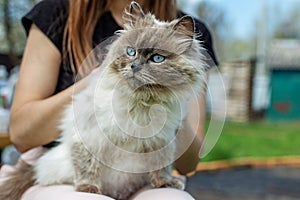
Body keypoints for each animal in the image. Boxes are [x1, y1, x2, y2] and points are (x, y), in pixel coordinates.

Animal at [0, 1, 207, 200]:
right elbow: (88, 166)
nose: (134, 66)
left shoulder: (161, 141)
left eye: (157, 58)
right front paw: (88, 188)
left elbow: (161, 166)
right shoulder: (89, 135)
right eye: (131, 52)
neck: (141, 102)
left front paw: (164, 183)